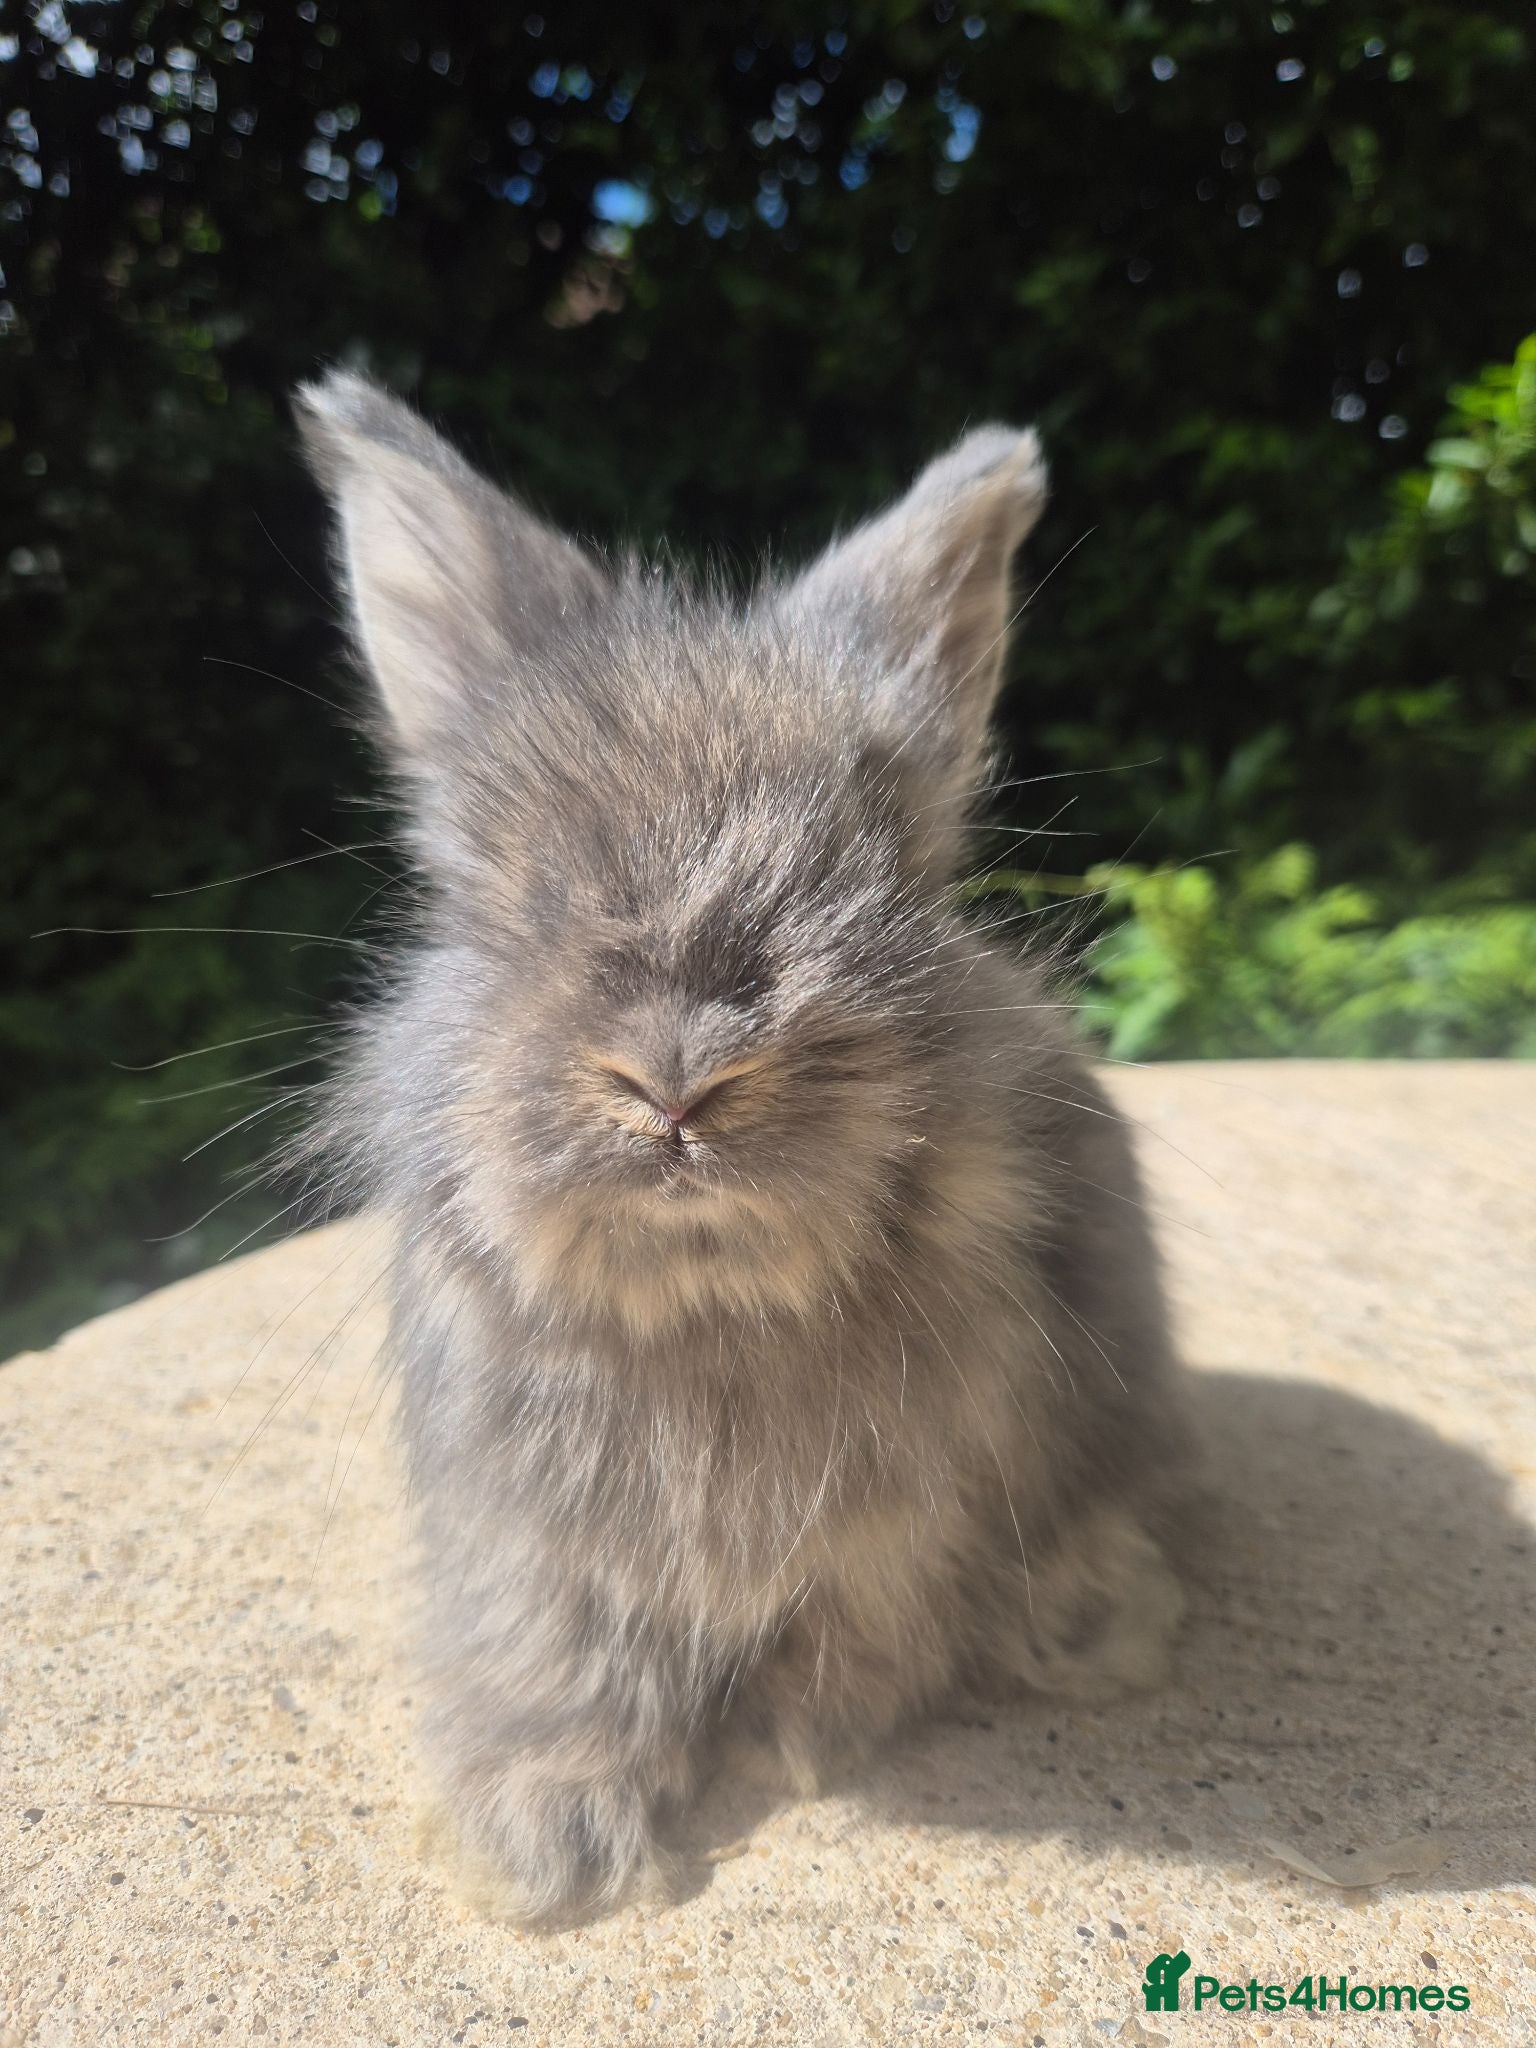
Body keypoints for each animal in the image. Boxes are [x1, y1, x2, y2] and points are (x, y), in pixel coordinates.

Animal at [294, 370, 1188, 1926]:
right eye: (507, 889)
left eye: (874, 873)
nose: (678, 1080)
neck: (710, 1303)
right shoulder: (530, 1543)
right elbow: (562, 1663)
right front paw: (555, 1848)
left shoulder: (905, 1527)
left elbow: (855, 1639)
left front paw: (795, 1749)